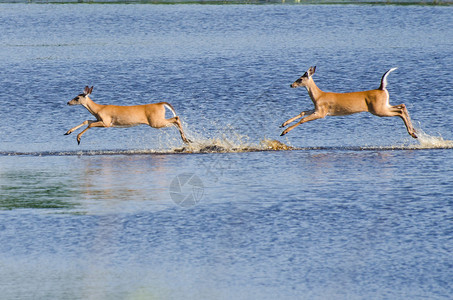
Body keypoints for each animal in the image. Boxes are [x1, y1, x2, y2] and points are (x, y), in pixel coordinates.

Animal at [278, 66, 416, 139]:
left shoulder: (322, 113)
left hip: (378, 110)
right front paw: (283, 124)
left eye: (300, 79)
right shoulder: (317, 109)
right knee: (402, 106)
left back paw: (412, 133)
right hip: (383, 106)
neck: (319, 96)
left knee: (399, 111)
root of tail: (381, 88)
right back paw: (414, 131)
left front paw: (284, 132)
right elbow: (302, 112)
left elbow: (303, 120)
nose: (291, 84)